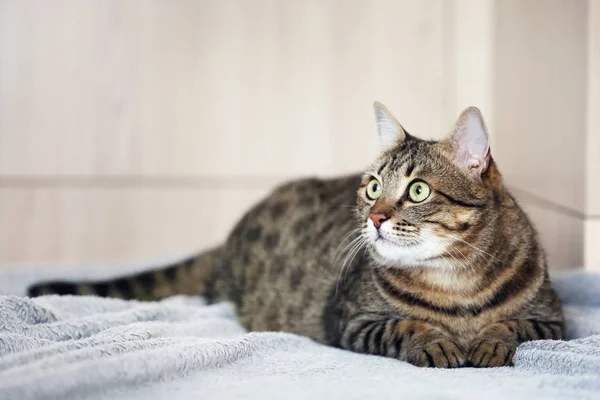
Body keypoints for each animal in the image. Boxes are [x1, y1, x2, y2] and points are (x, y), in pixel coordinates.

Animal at [27, 103, 564, 368]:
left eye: (417, 190)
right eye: (373, 187)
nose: (375, 218)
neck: (455, 281)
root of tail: (232, 236)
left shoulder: (553, 318)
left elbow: (513, 324)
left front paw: (489, 341)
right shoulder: (349, 318)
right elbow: (406, 325)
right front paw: (434, 342)